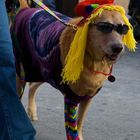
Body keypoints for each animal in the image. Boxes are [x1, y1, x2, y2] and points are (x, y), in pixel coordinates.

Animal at [12, 0, 137, 139]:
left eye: (123, 29)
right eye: (104, 27)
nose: (118, 48)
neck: (93, 60)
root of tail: (26, 8)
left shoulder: (88, 97)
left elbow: (79, 122)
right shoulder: (71, 97)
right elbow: (72, 128)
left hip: (45, 71)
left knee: (32, 86)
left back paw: (31, 110)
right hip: (23, 72)